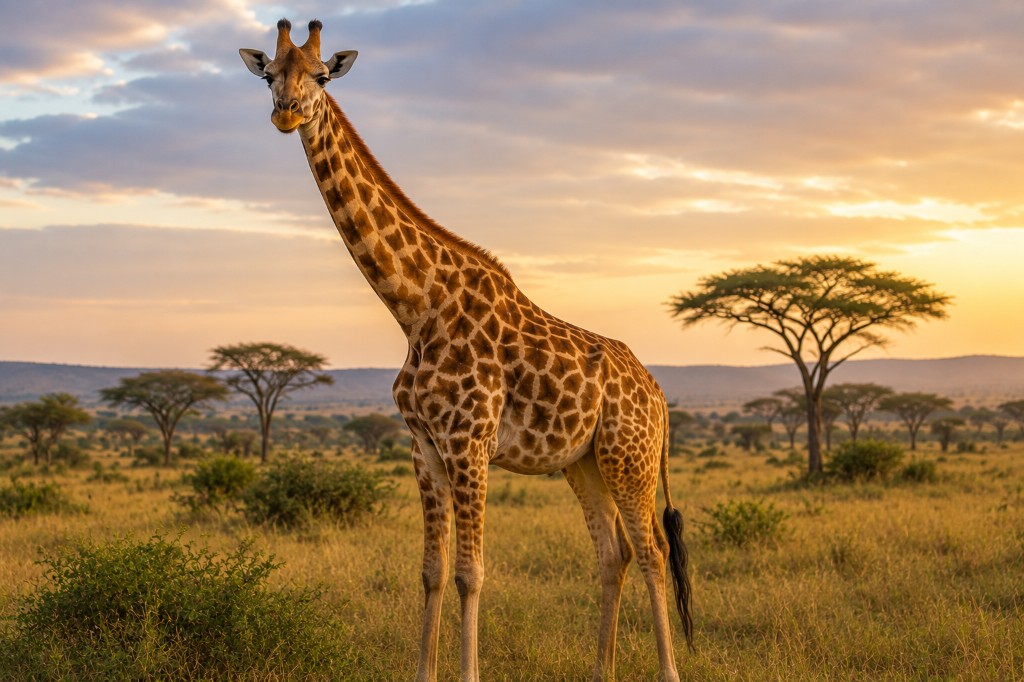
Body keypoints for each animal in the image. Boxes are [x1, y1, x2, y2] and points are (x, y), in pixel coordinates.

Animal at [240, 19, 693, 682]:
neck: (415, 307)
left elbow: (470, 573)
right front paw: (423, 672)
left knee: (653, 550)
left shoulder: (470, 442)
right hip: (582, 461)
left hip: (626, 456)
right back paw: (600, 670)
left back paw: (665, 670)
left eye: (321, 77)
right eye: (270, 74)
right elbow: (431, 572)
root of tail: (658, 394)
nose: (286, 112)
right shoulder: (423, 446)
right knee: (613, 553)